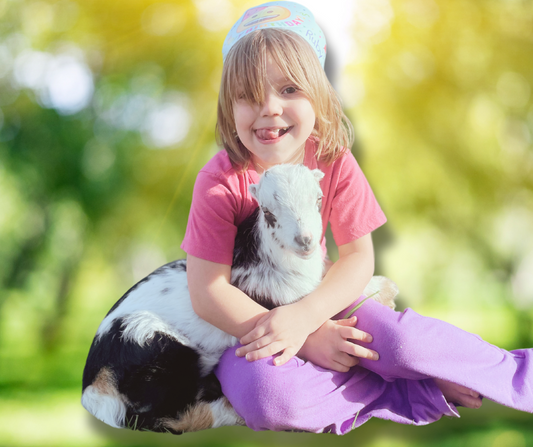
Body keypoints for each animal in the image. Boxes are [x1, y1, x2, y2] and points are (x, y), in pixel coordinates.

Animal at [82, 164, 394, 434]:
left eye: (318, 199)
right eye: (267, 211)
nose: (304, 241)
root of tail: (93, 391)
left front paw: (383, 287)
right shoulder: (278, 304)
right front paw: (384, 291)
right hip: (149, 343)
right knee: (164, 416)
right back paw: (231, 412)